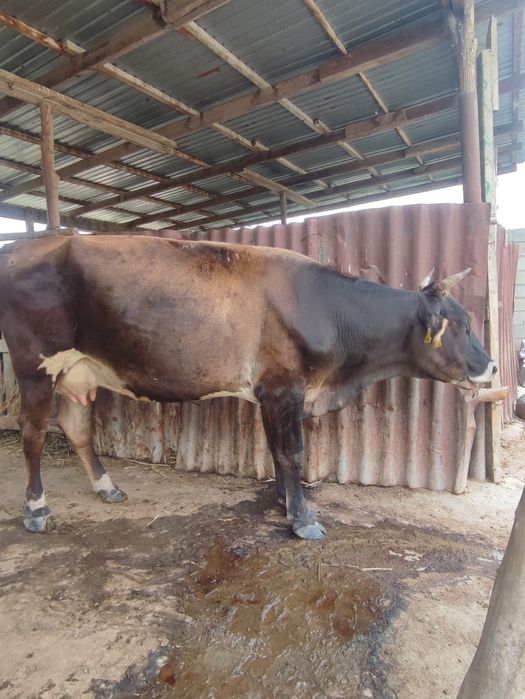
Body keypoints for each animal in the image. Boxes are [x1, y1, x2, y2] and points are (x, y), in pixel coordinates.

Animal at [0, 233, 495, 540]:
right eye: (464, 325)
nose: (490, 366)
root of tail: (25, 244)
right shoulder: (284, 389)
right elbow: (293, 453)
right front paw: (303, 519)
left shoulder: (270, 393)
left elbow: (276, 451)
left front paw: (284, 502)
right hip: (35, 366)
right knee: (33, 433)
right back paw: (38, 510)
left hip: (77, 370)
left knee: (77, 428)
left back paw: (106, 488)